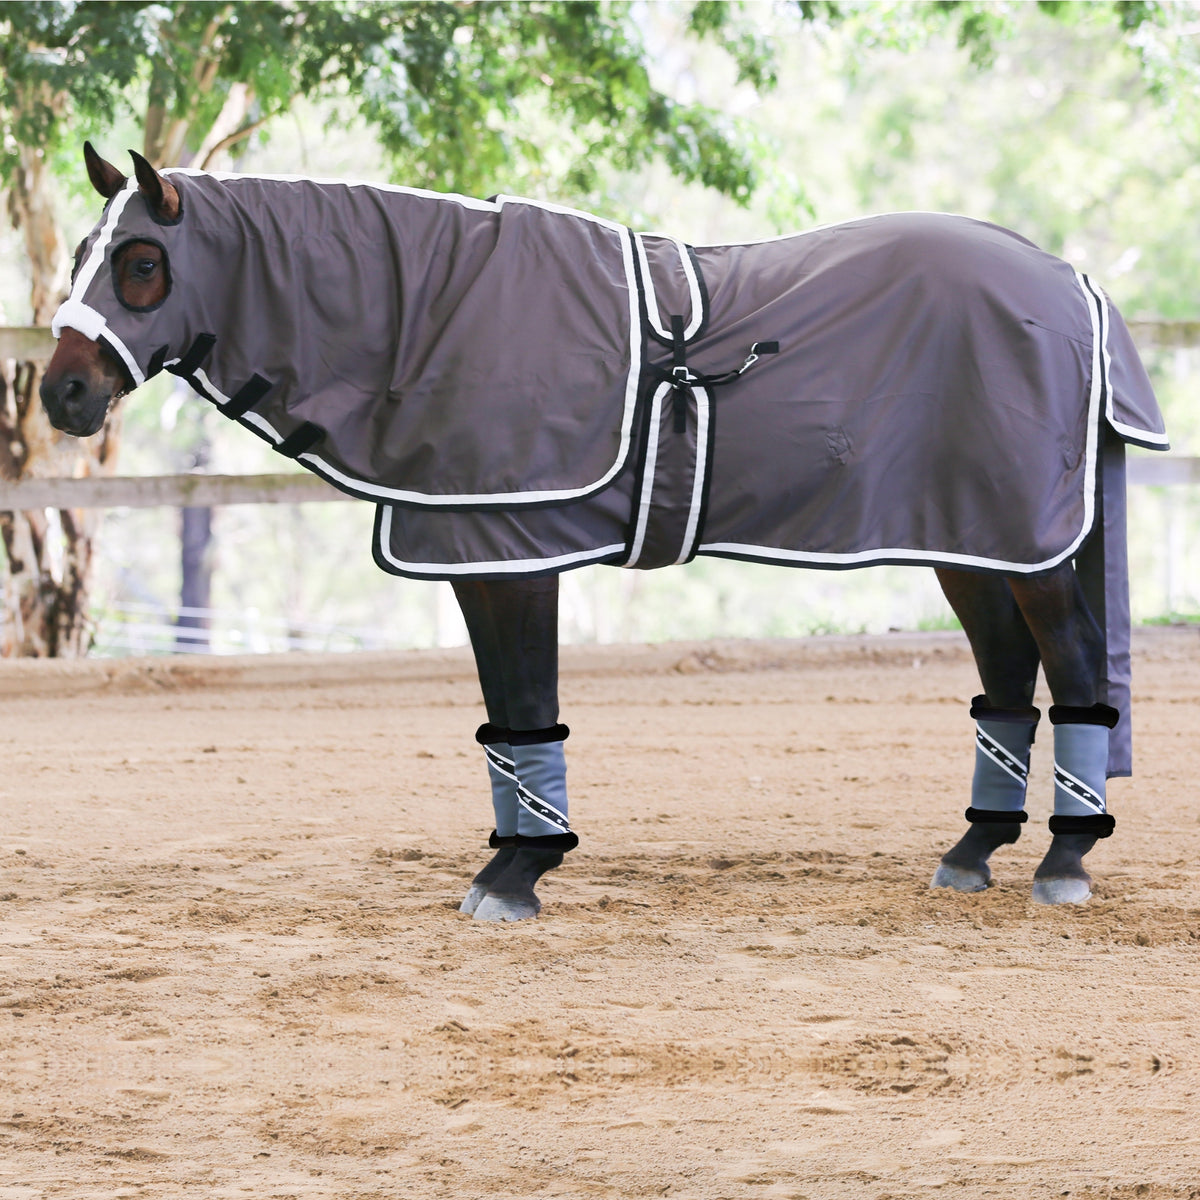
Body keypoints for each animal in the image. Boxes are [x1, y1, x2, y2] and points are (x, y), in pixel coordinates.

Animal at [41, 144, 1169, 920]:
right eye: (84, 254)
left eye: (141, 262)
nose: (62, 394)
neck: (429, 313)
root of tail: (1070, 281)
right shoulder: (477, 550)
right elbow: (506, 718)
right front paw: (509, 861)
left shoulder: (515, 549)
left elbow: (529, 705)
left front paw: (521, 872)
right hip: (967, 541)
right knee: (1007, 675)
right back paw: (975, 853)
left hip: (1024, 545)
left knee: (1072, 663)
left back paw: (1064, 861)